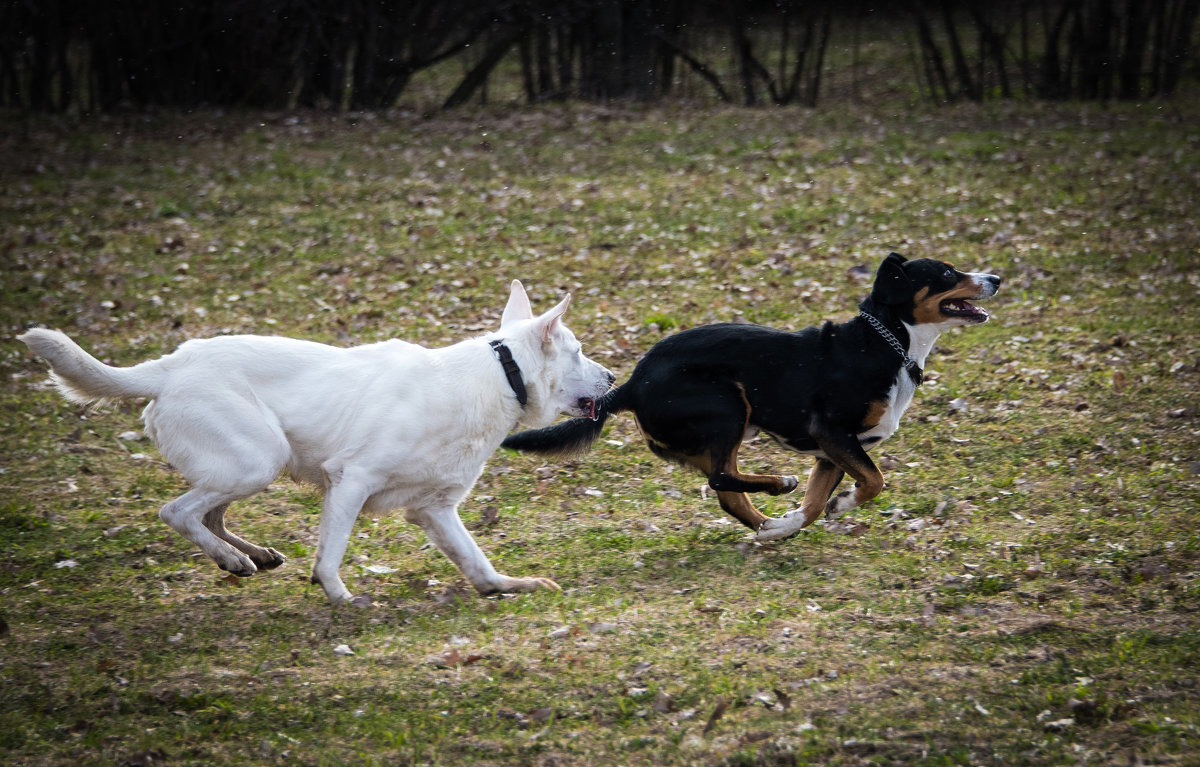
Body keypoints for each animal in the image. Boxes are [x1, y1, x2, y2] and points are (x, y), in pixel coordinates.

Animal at [19, 282, 614, 604]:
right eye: (579, 351)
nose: (612, 377)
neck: (499, 375)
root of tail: (169, 366)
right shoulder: (350, 482)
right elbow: (330, 555)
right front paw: (341, 597)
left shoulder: (436, 510)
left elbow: (477, 563)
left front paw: (510, 585)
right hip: (257, 461)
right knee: (178, 512)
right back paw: (232, 559)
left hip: (250, 466)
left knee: (208, 513)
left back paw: (250, 556)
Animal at [501, 252, 998, 540]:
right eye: (948, 273)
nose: (996, 276)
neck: (886, 344)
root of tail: (632, 384)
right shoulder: (833, 433)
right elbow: (874, 482)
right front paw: (840, 505)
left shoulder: (831, 452)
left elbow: (814, 506)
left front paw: (784, 527)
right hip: (727, 406)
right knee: (723, 479)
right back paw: (778, 484)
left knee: (726, 490)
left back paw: (764, 524)